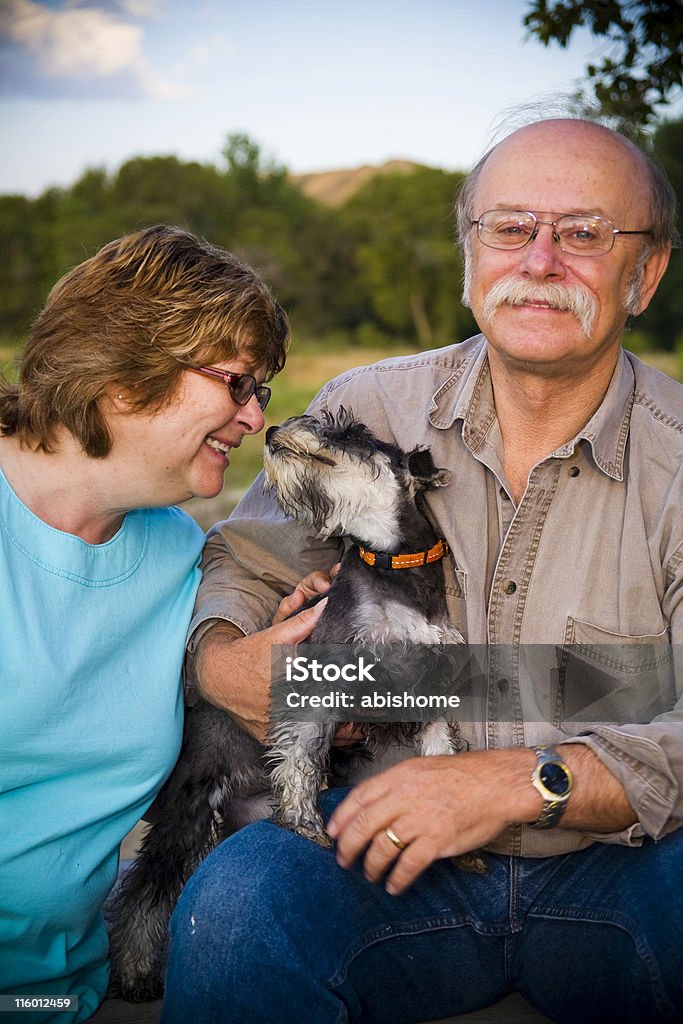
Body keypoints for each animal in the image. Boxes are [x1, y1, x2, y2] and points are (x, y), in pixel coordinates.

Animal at [109, 407, 466, 999]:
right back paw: (135, 972)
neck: (394, 566)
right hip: (186, 810)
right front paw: (305, 824)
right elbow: (300, 753)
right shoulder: (325, 674)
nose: (275, 431)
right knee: (146, 892)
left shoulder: (432, 684)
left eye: (352, 432)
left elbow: (439, 752)